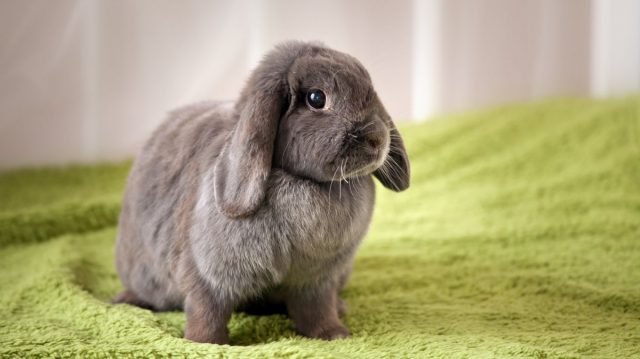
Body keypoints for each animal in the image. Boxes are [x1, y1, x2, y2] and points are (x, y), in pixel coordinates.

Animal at [114, 40, 410, 346]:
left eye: (370, 90)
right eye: (316, 98)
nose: (377, 139)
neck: (306, 182)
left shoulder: (316, 281)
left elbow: (316, 310)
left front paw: (334, 334)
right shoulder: (208, 277)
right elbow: (206, 311)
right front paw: (204, 343)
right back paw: (127, 299)